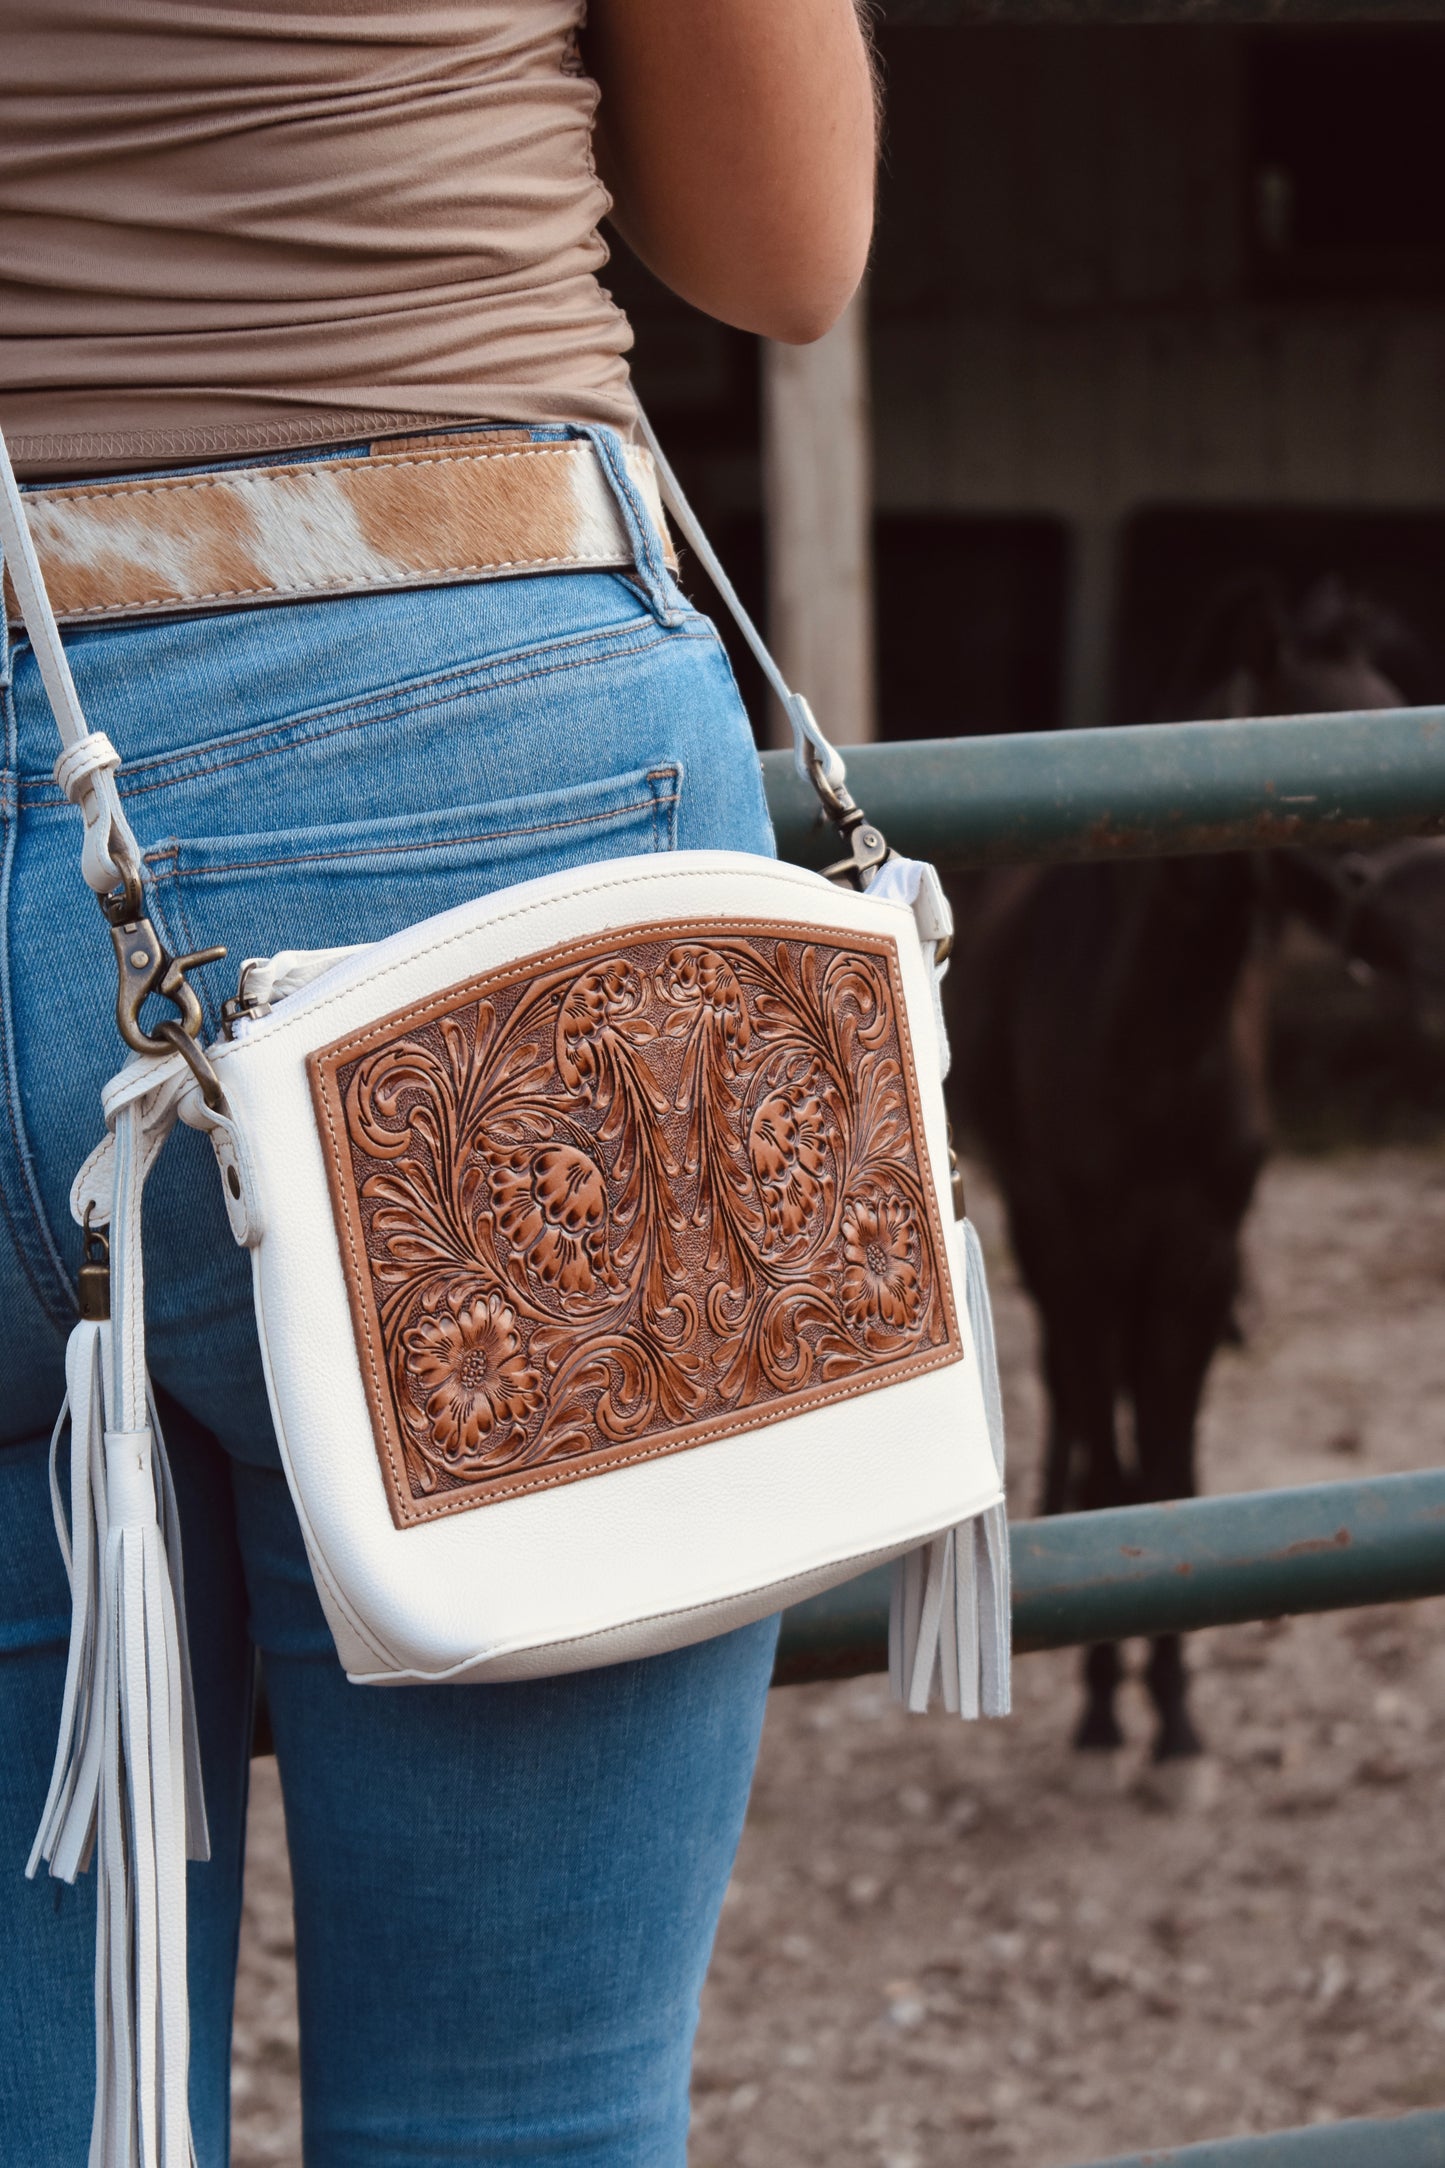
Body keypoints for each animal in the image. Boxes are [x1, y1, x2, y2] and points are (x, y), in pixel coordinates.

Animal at [953, 585, 1438, 1769]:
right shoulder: (1080, 1251)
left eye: (1392, 713)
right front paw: (1100, 1700)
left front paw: (1170, 1707)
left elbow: (1171, 1483)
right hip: (1051, 1250)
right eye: (1309, 741)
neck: (1144, 1044)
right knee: (1074, 1403)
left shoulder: (1199, 1256)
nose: (1438, 930)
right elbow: (1118, 1474)